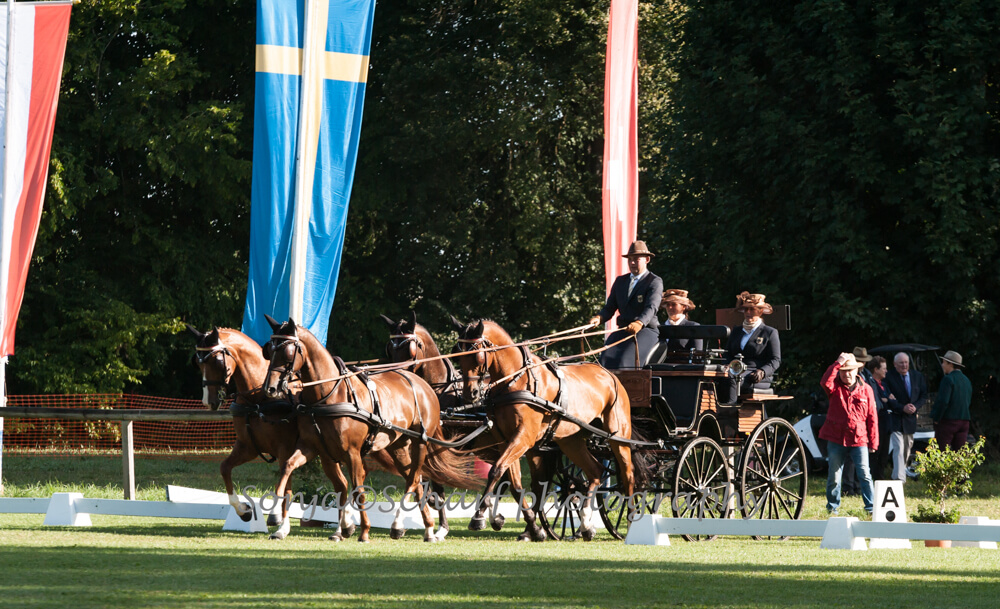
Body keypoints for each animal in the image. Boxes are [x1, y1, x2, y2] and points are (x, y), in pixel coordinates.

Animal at [188, 326, 356, 536]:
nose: (208, 401)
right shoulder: (248, 447)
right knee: (342, 483)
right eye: (197, 362)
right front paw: (243, 510)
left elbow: (286, 489)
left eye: (217, 361)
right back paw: (347, 523)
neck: (259, 398)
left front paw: (280, 523)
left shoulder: (285, 449)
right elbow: (225, 468)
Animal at [260, 316, 478, 540]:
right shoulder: (317, 450)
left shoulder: (352, 452)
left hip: (420, 443)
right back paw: (425, 528)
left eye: (287, 351)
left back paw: (405, 525)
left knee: (413, 479)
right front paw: (276, 515)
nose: (270, 388)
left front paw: (363, 531)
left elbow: (357, 489)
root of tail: (424, 386)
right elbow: (293, 469)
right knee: (416, 479)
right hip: (397, 446)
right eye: (269, 349)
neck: (328, 395)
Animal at [452, 318, 632, 540]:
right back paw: (586, 524)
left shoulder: (524, 437)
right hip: (570, 442)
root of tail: (608, 374)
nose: (471, 394)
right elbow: (514, 483)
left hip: (619, 438)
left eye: (476, 354)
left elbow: (496, 471)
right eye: (457, 355)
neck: (515, 381)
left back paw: (631, 521)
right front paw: (533, 528)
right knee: (595, 471)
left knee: (628, 474)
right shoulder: (507, 440)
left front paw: (479, 516)